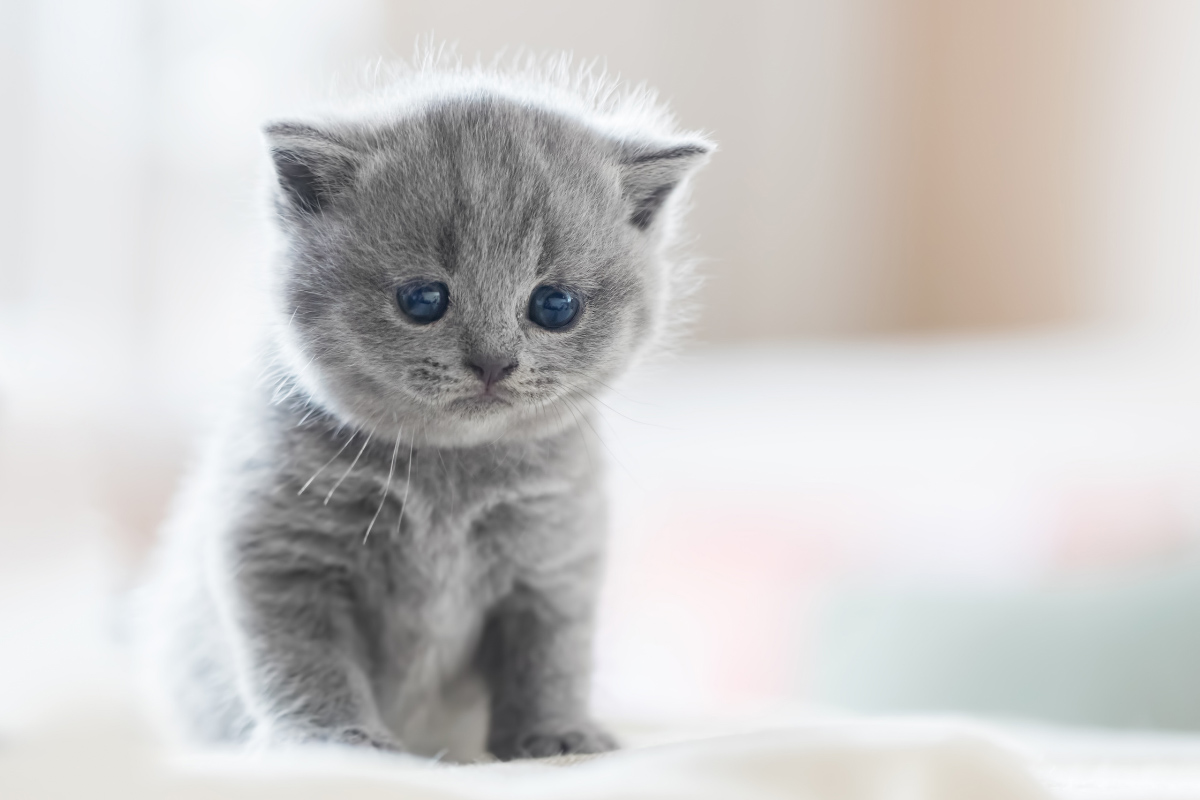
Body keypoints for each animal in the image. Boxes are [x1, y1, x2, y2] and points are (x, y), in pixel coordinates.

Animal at [133, 59, 710, 762]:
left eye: (555, 306)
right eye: (423, 300)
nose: (493, 362)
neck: (449, 481)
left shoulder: (552, 561)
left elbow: (550, 659)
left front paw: (557, 737)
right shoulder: (281, 550)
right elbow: (304, 660)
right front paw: (334, 741)